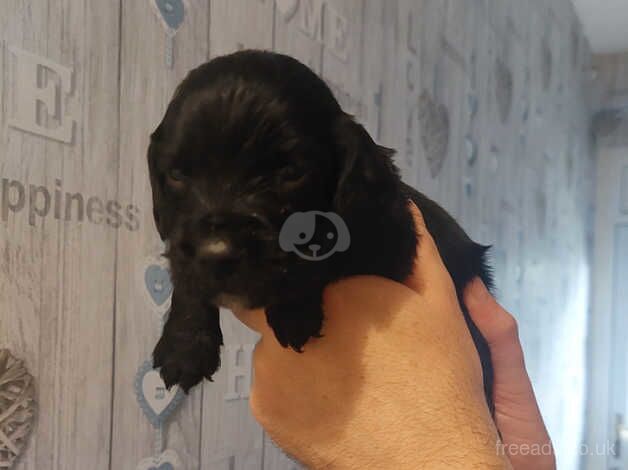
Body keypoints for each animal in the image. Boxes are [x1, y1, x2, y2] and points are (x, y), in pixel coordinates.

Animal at [150, 49, 494, 412]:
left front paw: (293, 312)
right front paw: (184, 345)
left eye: (290, 172)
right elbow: (183, 272)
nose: (217, 254)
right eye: (176, 174)